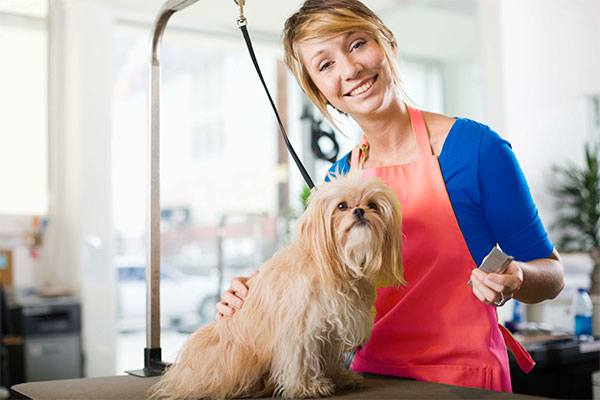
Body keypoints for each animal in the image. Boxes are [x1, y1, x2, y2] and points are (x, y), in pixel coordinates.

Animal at [148, 173, 406, 400]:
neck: (336, 265)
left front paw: (338, 378)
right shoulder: (301, 327)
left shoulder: (331, 330)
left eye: (372, 205)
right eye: (341, 206)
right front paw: (308, 387)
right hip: (238, 355)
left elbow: (329, 357)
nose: (359, 210)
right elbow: (301, 359)